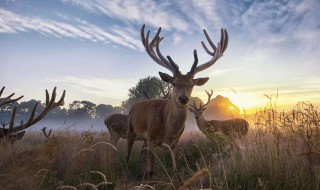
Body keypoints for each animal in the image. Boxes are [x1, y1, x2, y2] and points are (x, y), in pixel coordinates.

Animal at [126, 24, 229, 182]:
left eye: (192, 85)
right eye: (173, 83)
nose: (183, 98)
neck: (168, 131)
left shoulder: (175, 142)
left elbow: (177, 169)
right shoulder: (152, 138)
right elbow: (151, 171)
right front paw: (148, 180)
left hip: (143, 139)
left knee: (141, 156)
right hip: (130, 130)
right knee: (127, 157)